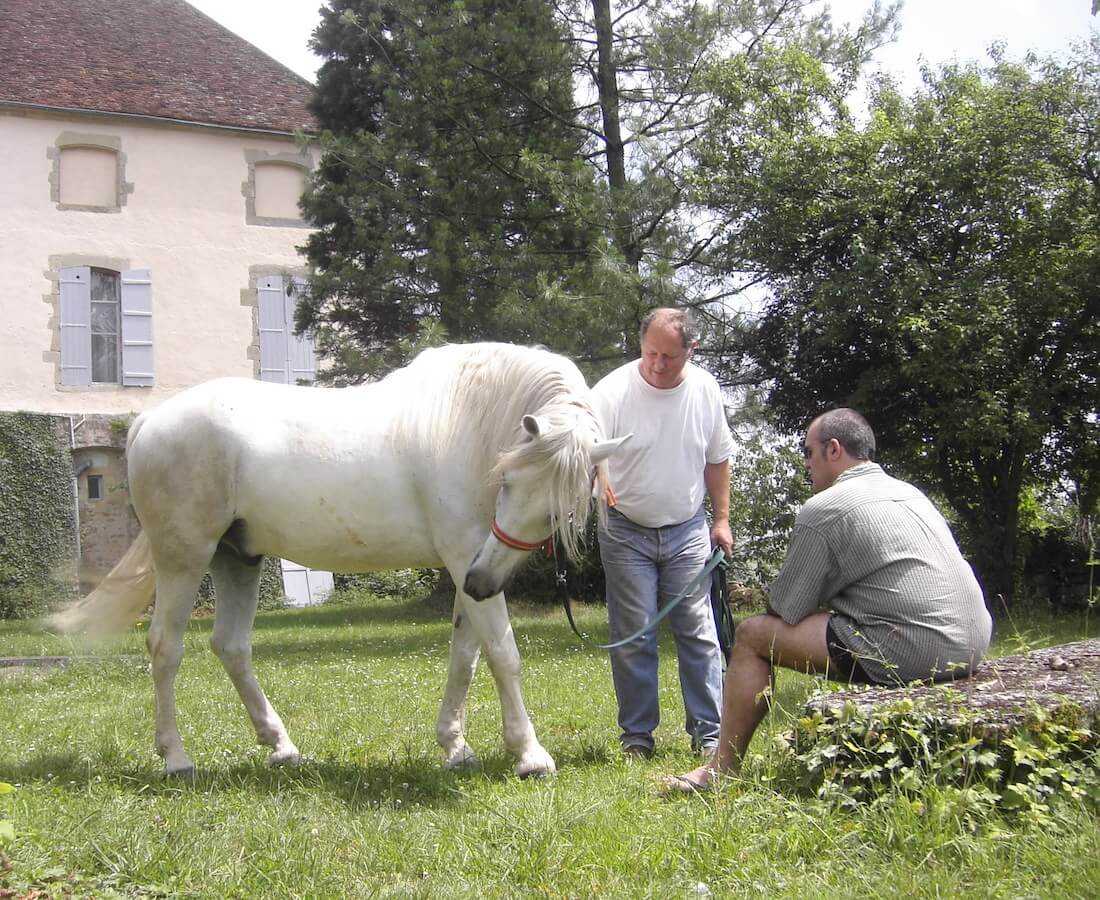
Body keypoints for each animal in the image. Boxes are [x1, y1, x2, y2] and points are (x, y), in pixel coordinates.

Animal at [49, 343, 629, 778]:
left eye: (559, 510)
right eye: (506, 480)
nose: (485, 581)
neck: (466, 423)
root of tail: (150, 420)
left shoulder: (468, 567)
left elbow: (465, 655)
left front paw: (455, 746)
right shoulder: (467, 554)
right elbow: (503, 654)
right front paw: (529, 754)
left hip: (238, 559)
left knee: (230, 646)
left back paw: (281, 746)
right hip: (184, 558)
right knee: (165, 647)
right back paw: (176, 759)